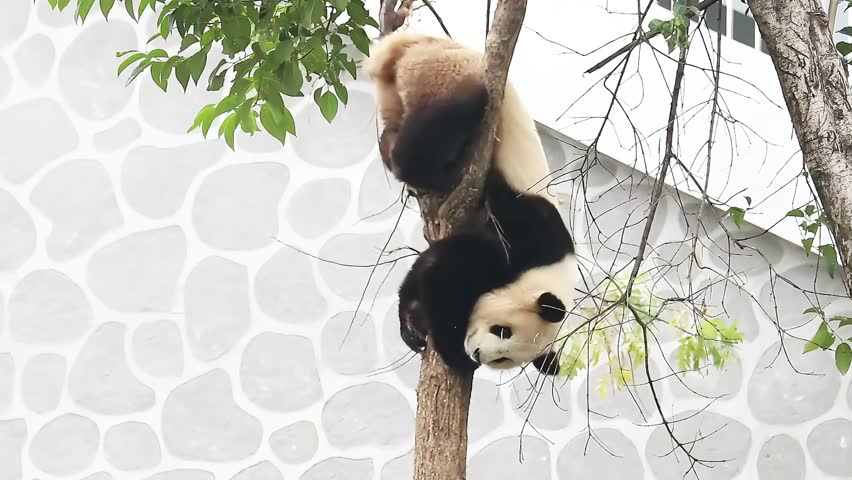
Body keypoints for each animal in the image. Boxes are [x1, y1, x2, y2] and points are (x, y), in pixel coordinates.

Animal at [364, 31, 577, 375]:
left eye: (504, 358)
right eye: (502, 331)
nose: (477, 353)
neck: (552, 269)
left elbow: (429, 265)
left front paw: (413, 321)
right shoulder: (522, 241)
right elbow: (447, 270)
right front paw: (451, 350)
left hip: (401, 92)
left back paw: (389, 143)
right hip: (453, 78)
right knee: (438, 131)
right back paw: (434, 169)